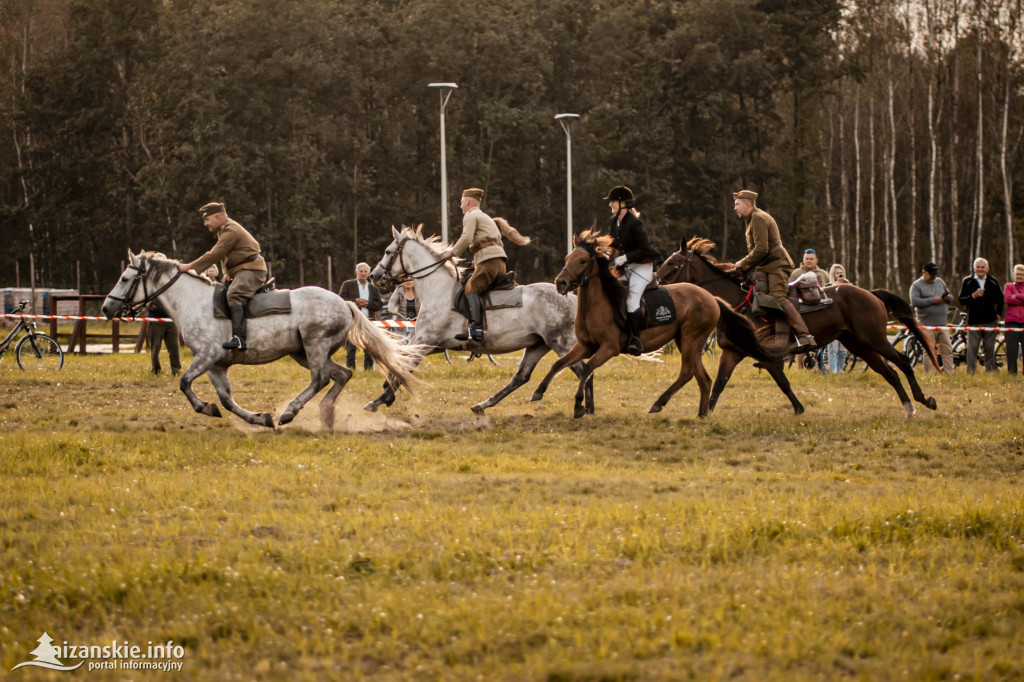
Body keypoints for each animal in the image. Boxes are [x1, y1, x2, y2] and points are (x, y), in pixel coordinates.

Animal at [101, 251, 421, 428]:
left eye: (126, 279)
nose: (106, 308)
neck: (194, 302)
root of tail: (345, 303)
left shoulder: (206, 357)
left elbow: (184, 382)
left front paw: (206, 408)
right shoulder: (217, 366)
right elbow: (226, 400)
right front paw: (257, 418)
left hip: (314, 347)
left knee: (320, 379)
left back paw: (291, 412)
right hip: (302, 353)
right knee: (342, 374)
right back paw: (326, 414)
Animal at [366, 225, 593, 411]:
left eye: (388, 251)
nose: (373, 276)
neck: (437, 289)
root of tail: (573, 299)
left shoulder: (425, 340)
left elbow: (405, 364)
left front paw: (379, 400)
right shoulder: (432, 344)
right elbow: (401, 359)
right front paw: (386, 392)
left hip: (560, 343)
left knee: (583, 370)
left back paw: (584, 408)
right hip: (538, 345)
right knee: (522, 376)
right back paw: (483, 405)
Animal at [528, 231, 782, 417]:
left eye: (582, 260)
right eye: (566, 260)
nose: (560, 283)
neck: (598, 303)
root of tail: (712, 298)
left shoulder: (609, 348)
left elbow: (587, 369)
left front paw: (579, 405)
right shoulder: (584, 346)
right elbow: (559, 364)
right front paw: (538, 392)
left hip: (691, 339)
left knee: (687, 373)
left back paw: (659, 403)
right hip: (686, 341)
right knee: (703, 378)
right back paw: (701, 415)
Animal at [651, 236, 937, 413]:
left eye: (673, 263)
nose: (656, 283)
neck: (737, 303)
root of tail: (870, 294)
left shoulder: (767, 357)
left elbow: (783, 383)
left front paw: (798, 408)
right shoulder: (732, 353)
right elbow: (720, 384)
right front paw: (707, 412)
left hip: (873, 338)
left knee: (902, 361)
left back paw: (924, 400)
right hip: (857, 344)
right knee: (888, 372)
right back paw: (909, 407)